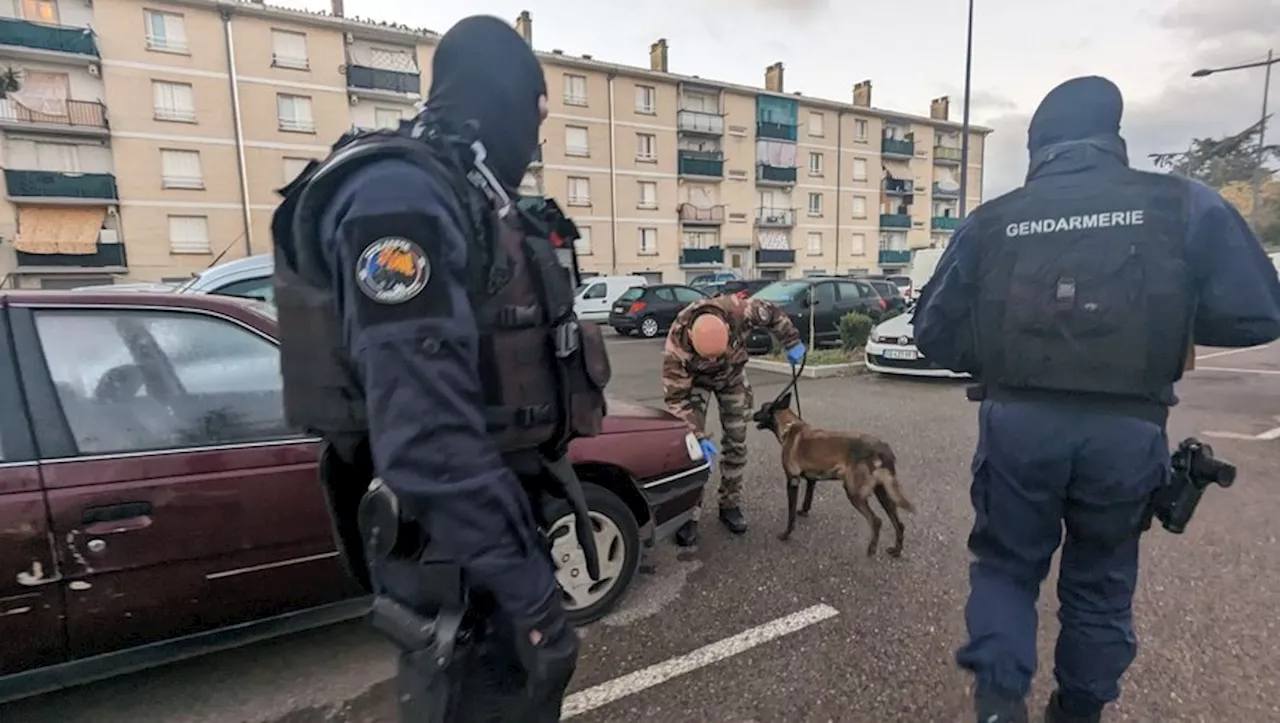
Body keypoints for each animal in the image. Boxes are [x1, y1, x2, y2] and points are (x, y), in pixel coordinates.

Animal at [752, 391, 916, 555]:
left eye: (762, 408)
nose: (752, 414)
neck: (789, 426)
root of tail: (883, 448)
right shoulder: (811, 480)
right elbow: (807, 499)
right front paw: (804, 512)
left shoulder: (792, 481)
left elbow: (790, 515)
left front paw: (786, 534)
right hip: (883, 493)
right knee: (899, 524)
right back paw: (896, 550)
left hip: (854, 493)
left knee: (876, 521)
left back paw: (872, 549)